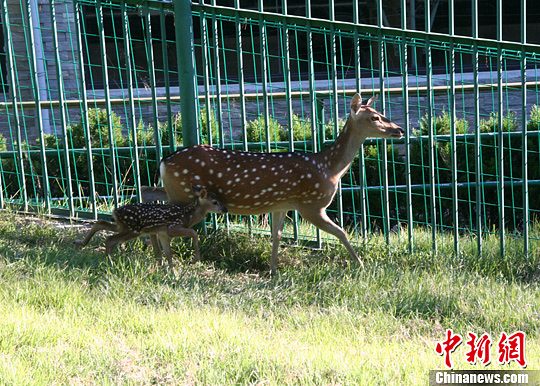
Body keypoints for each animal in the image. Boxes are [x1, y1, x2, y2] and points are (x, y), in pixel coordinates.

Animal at [146, 93, 402, 274]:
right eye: (374, 117)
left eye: (381, 112)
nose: (399, 130)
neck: (329, 169)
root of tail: (163, 161)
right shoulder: (311, 204)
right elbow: (341, 232)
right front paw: (361, 265)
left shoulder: (282, 205)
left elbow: (276, 235)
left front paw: (273, 270)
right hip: (183, 194)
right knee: (164, 219)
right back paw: (163, 260)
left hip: (173, 190)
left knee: (149, 194)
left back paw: (155, 256)